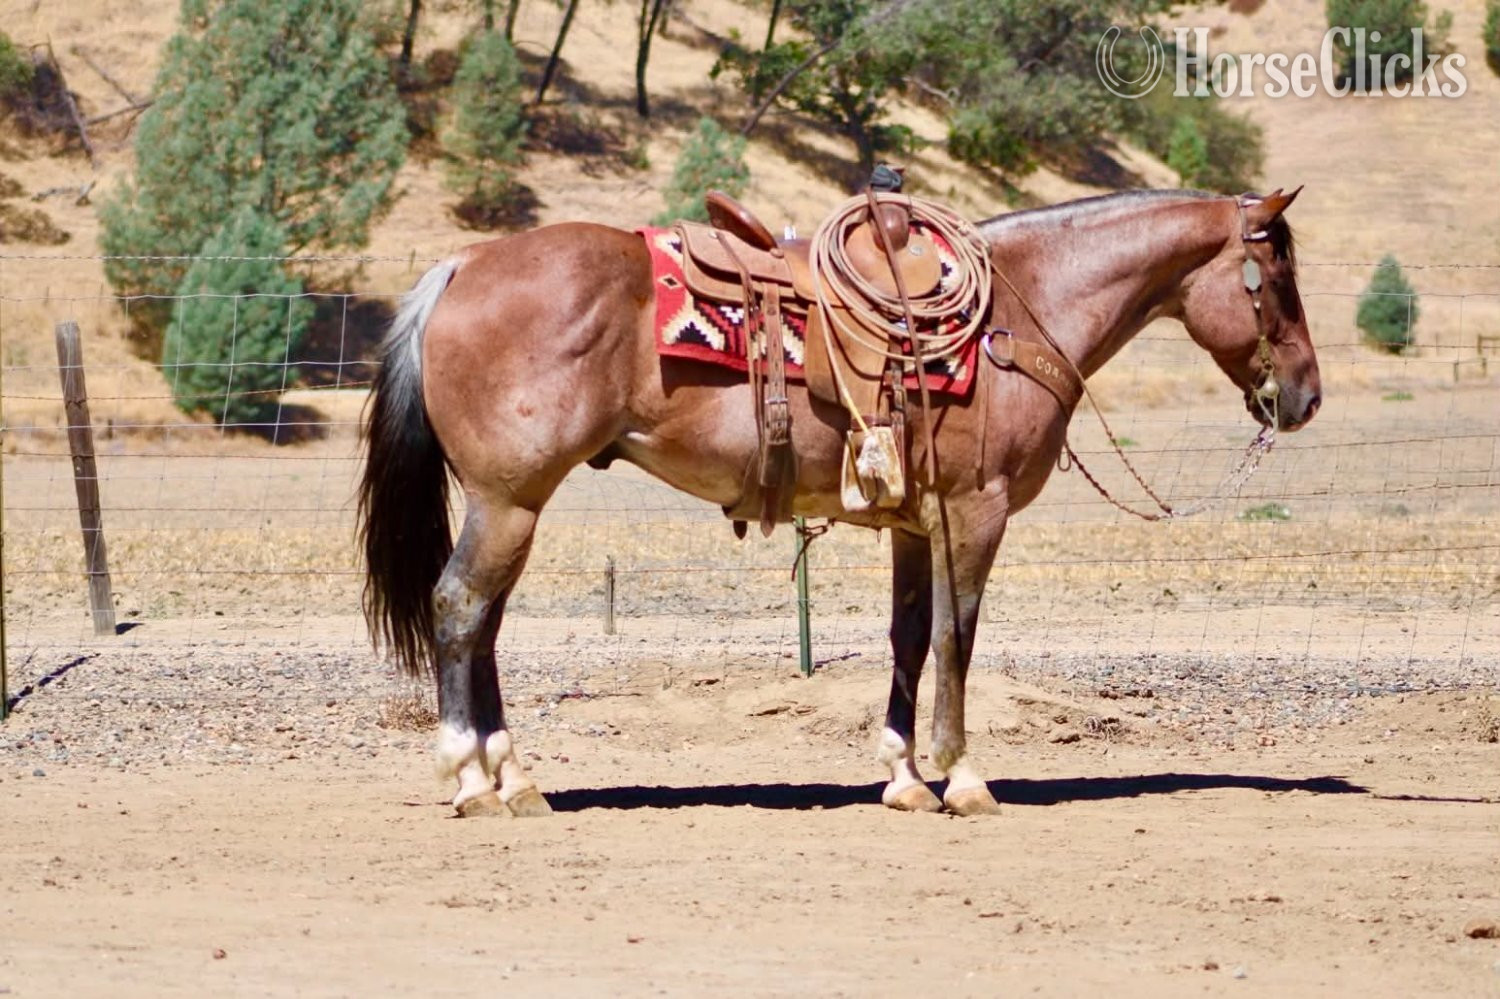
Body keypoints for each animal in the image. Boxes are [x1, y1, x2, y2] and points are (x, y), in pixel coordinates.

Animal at [358, 187, 1321, 818]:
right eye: (1276, 277)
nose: (1306, 396)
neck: (1020, 309)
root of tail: (464, 264)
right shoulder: (977, 511)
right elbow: (957, 637)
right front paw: (962, 776)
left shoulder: (916, 522)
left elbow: (908, 638)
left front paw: (903, 776)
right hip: (509, 499)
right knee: (459, 607)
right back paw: (472, 777)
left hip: (514, 504)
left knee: (483, 623)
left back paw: (515, 778)